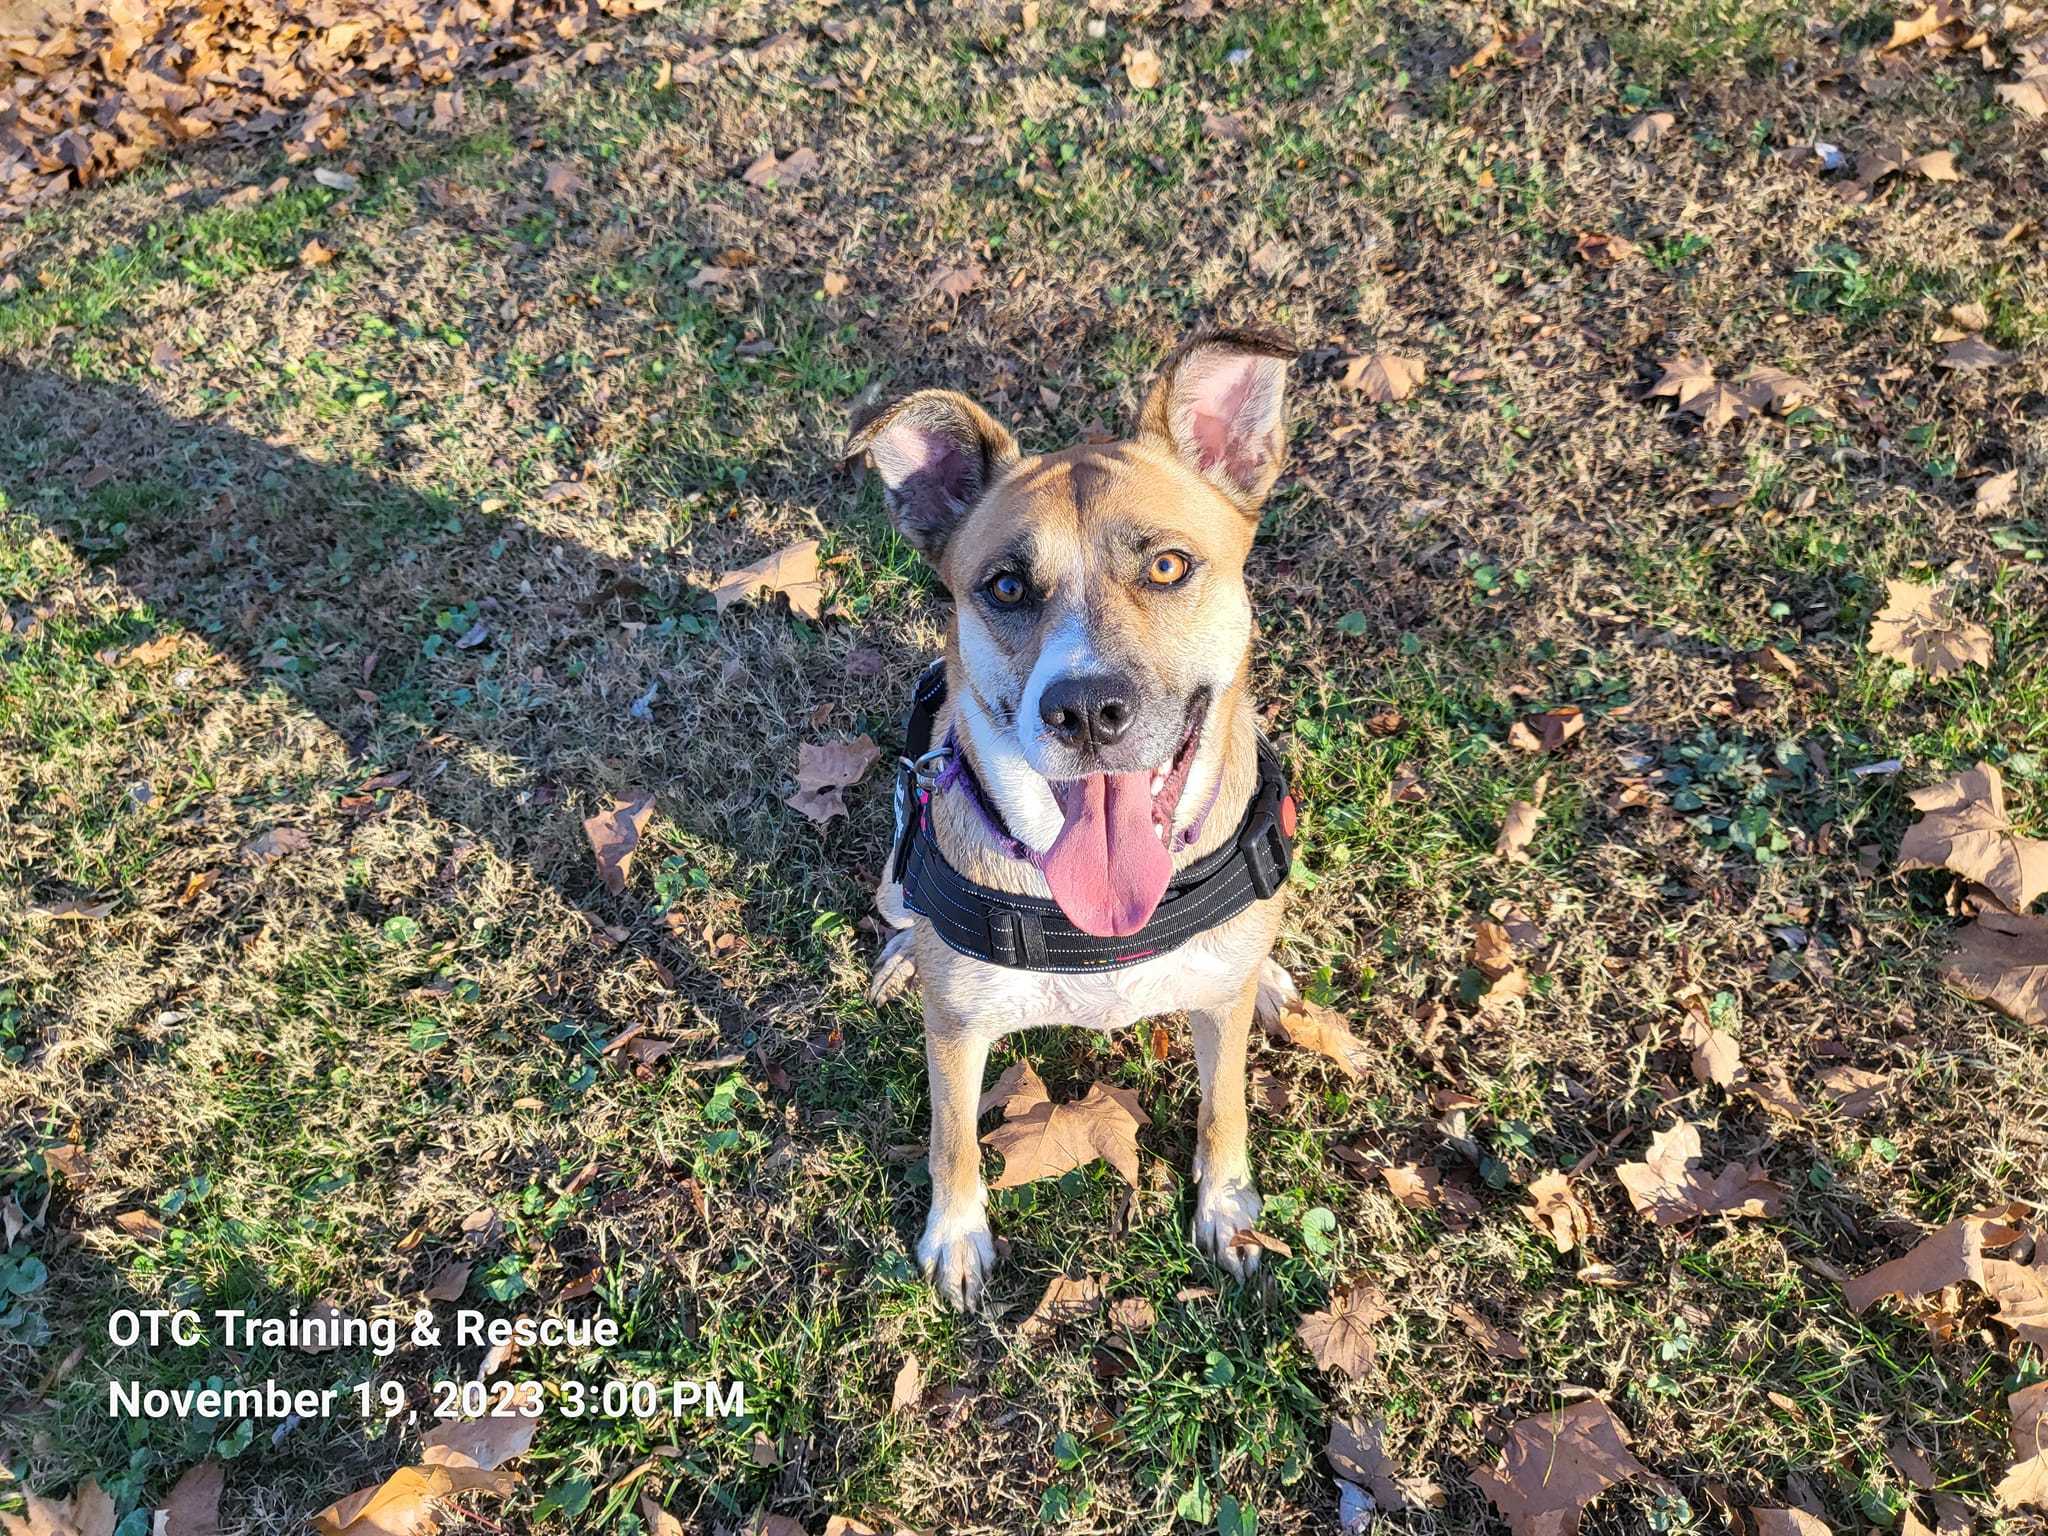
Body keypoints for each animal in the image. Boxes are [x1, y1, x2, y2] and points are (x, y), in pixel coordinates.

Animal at [843, 333, 1294, 1310]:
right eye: (1007, 585)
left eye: (1167, 566)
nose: (1086, 711)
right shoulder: (958, 1034)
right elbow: (952, 1138)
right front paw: (957, 1235)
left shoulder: (1217, 1013)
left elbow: (1224, 1106)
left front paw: (1227, 1206)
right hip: (896, 872)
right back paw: (902, 954)